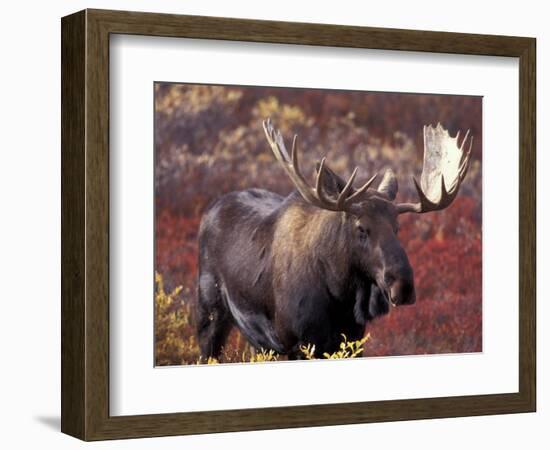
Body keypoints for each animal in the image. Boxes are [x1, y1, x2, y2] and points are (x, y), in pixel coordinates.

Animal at [195, 118, 474, 360]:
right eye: (361, 228)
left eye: (397, 228)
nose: (403, 285)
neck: (341, 295)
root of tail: (209, 211)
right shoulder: (295, 341)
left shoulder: (352, 339)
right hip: (210, 315)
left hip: (258, 341)